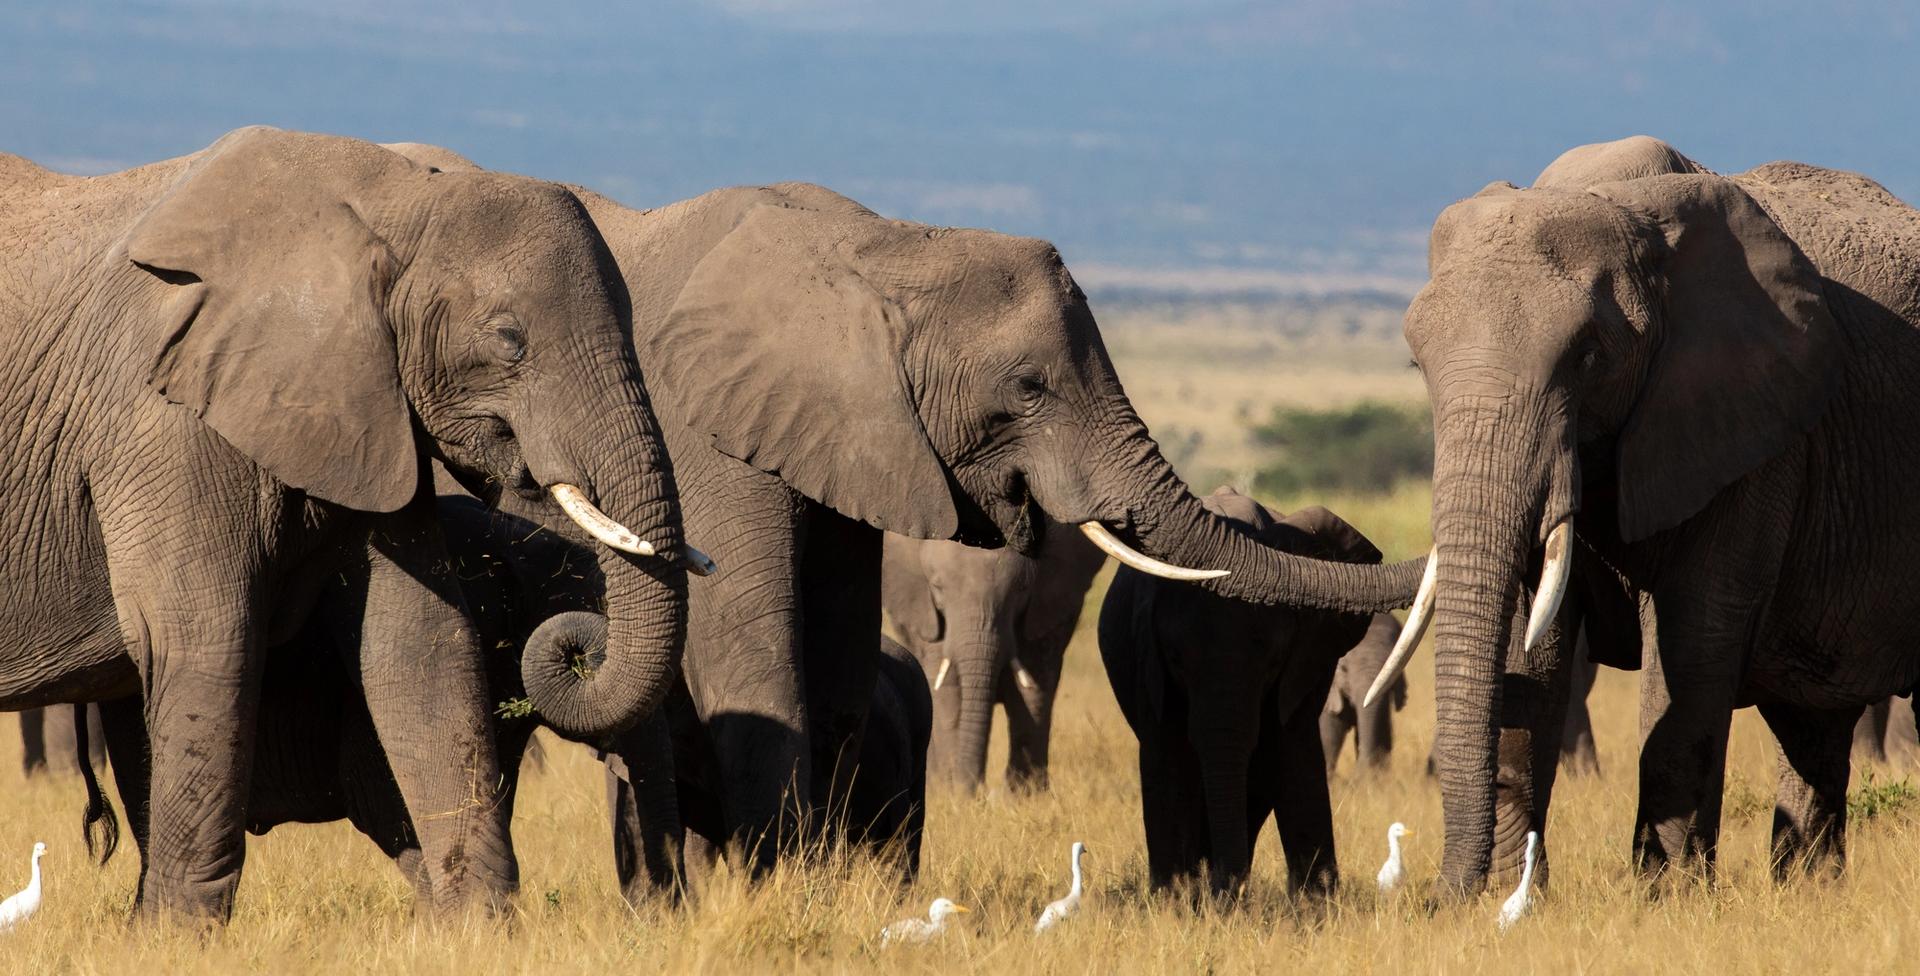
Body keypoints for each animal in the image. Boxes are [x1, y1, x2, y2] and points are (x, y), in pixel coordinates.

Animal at [0, 127, 692, 919]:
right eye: (509, 340)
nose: (580, 644)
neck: (396, 196)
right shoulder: (160, 421)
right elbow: (205, 635)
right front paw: (175, 935)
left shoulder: (370, 402)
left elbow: (419, 642)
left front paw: (479, 924)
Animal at [881, 519, 1106, 792]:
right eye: (937, 588)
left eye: (1022, 589)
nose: (978, 791)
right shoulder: (925, 614)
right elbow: (947, 686)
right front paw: (952, 792)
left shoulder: (1045, 607)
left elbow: (1034, 684)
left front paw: (1025, 796)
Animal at [1097, 487, 1382, 896]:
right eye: (1176, 659)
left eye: (1273, 662)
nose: (1224, 891)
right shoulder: (1146, 659)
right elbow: (1166, 753)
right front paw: (1171, 898)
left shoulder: (1306, 659)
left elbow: (1294, 751)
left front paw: (1316, 903)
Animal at [1362, 134, 1920, 893]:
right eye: (1418, 366)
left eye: (1587, 356)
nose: (1445, 890)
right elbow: (1531, 644)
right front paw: (1510, 896)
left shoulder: (1752, 432)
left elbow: (1693, 642)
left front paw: (1667, 897)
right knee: (1814, 723)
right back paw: (1809, 891)